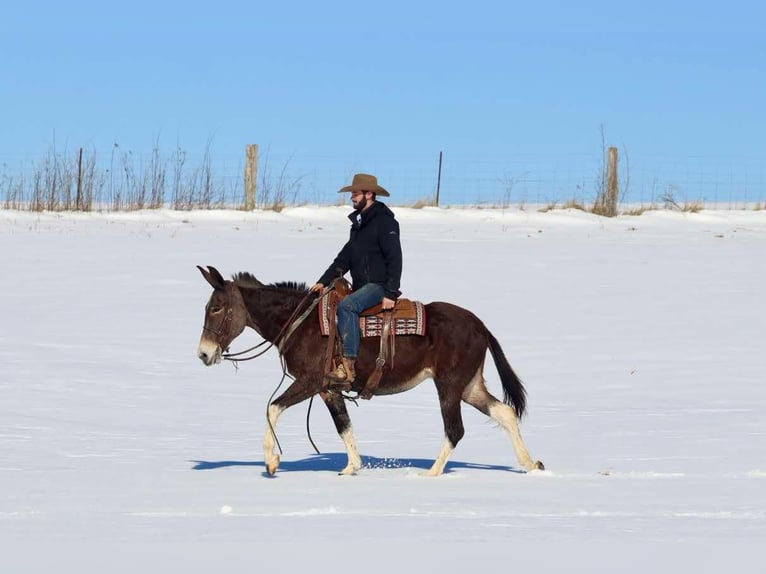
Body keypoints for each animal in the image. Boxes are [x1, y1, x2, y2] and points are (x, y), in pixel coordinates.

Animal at [196, 265, 544, 476]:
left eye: (216, 308)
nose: (203, 353)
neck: (301, 323)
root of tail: (479, 325)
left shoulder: (311, 381)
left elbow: (272, 407)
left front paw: (271, 461)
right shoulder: (329, 389)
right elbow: (344, 426)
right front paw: (352, 467)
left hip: (449, 386)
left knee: (455, 429)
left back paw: (430, 473)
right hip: (469, 386)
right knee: (505, 413)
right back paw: (531, 463)